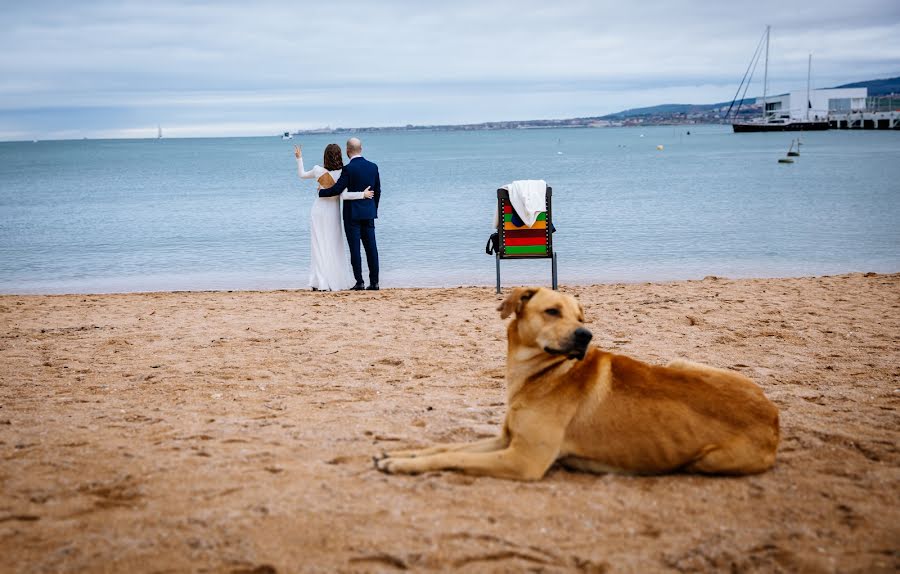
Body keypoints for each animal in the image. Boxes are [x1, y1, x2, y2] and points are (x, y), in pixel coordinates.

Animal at [374, 288, 780, 482]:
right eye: (552, 311)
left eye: (581, 318)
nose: (586, 335)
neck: (542, 374)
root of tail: (774, 416)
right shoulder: (507, 440)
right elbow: (443, 447)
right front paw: (398, 455)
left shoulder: (522, 460)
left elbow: (452, 458)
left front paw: (401, 465)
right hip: (680, 362)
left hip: (706, 459)